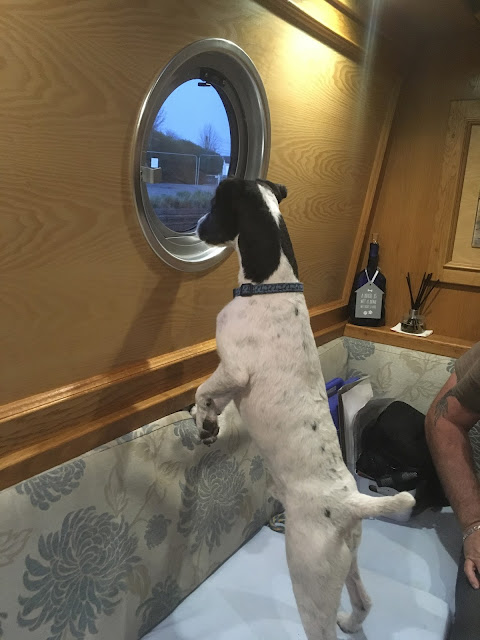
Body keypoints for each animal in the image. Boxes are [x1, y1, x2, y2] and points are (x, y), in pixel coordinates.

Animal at [193, 178, 415, 640]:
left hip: (309, 576)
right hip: (348, 563)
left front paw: (203, 418)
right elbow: (213, 401)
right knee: (364, 601)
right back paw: (352, 620)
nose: (197, 227)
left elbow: (204, 391)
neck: (270, 285)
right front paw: (207, 423)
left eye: (214, 202)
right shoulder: (232, 380)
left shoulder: (232, 368)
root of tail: (351, 505)